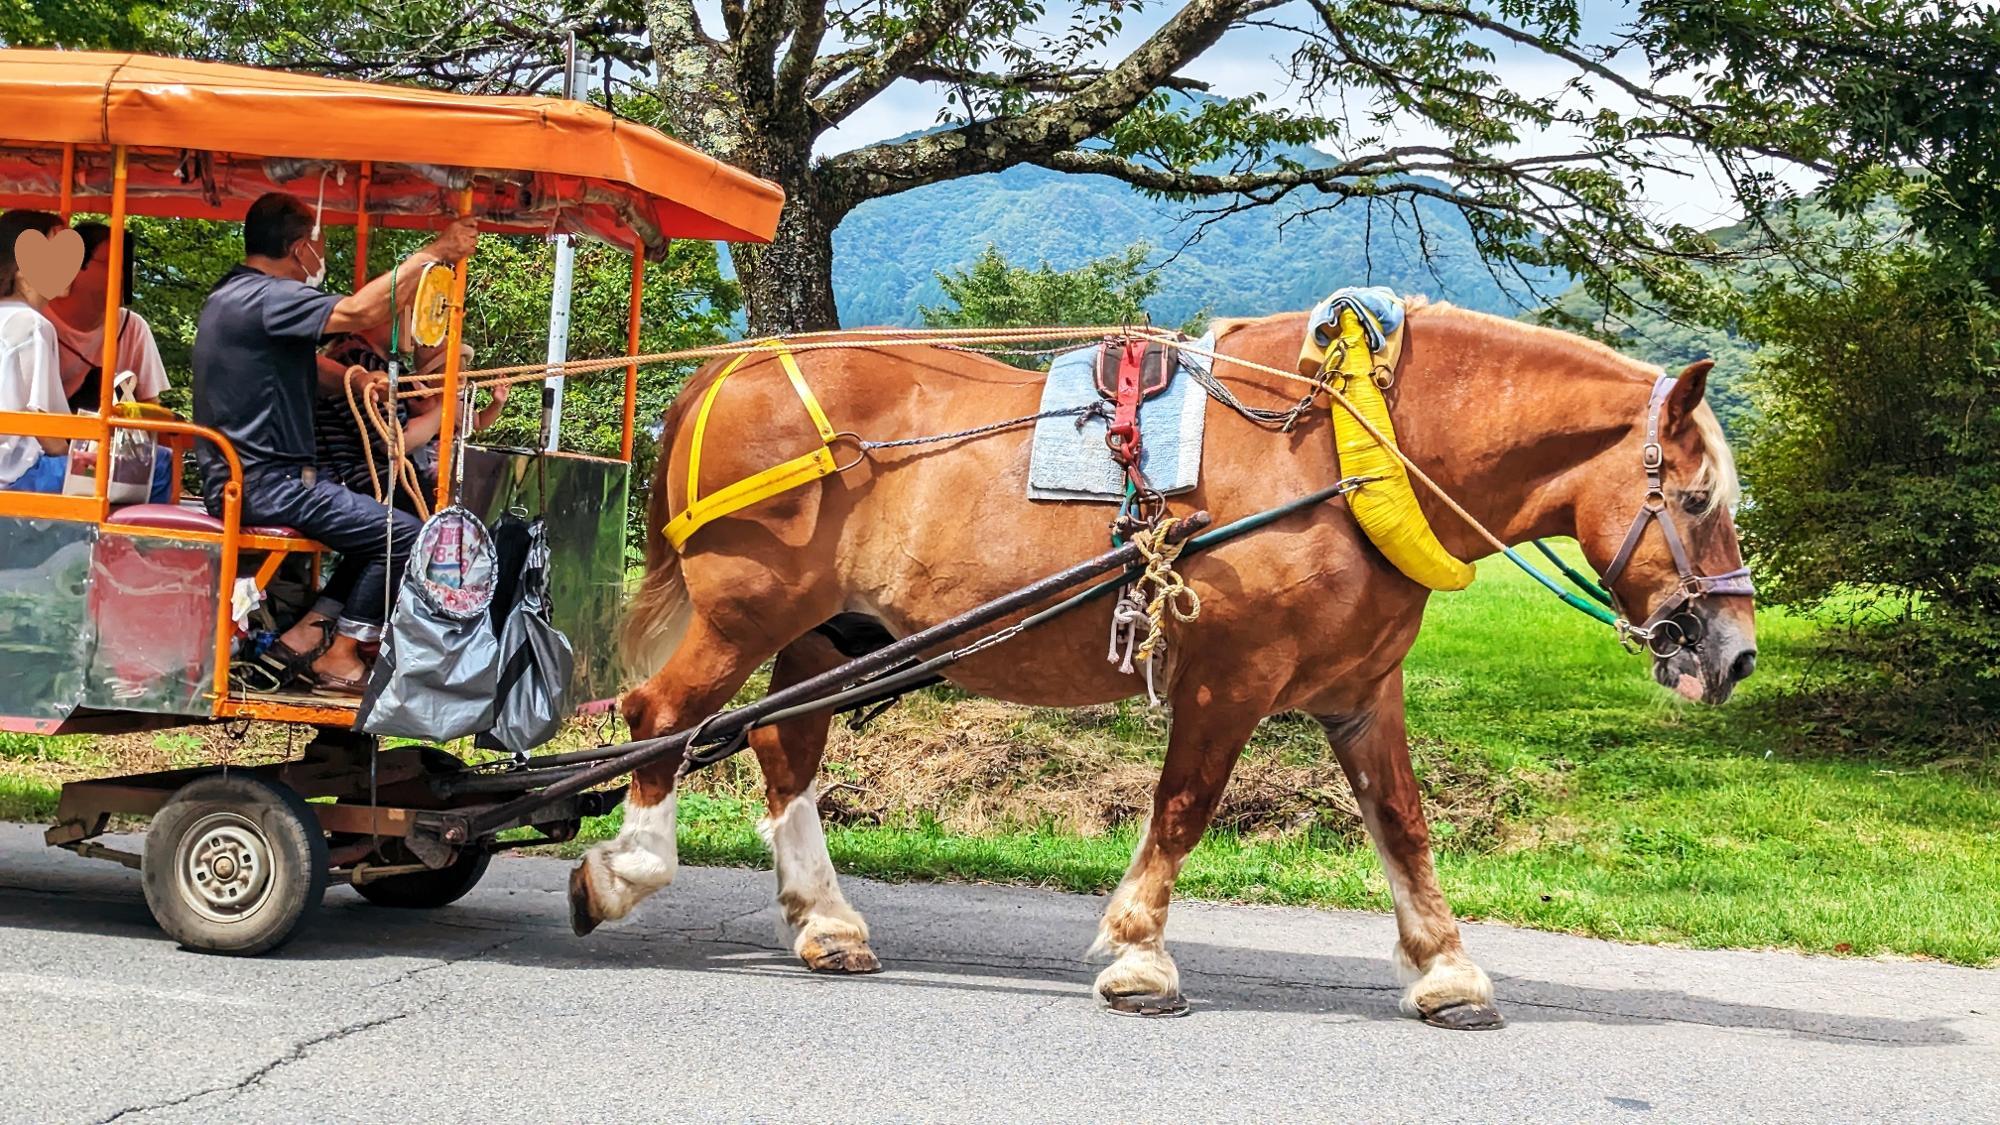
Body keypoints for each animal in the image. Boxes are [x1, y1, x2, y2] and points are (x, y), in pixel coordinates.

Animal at [568, 300, 1752, 1024]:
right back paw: (627, 869)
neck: (1345, 449)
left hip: (826, 634)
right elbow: (1184, 806)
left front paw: (1446, 969)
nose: (1735, 654)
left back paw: (825, 922)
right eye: (1696, 500)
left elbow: (1403, 826)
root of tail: (727, 367)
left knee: (783, 747)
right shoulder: (1231, 676)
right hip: (746, 610)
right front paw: (1139, 952)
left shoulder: (1360, 693)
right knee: (660, 715)